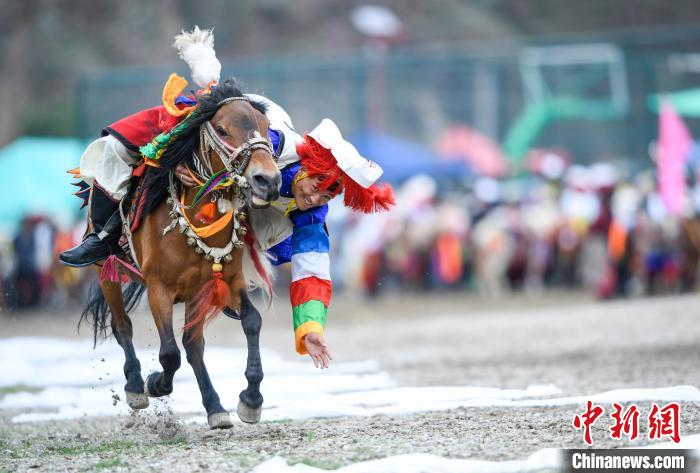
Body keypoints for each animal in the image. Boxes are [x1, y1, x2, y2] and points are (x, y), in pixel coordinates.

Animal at [81, 80, 278, 428]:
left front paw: (251, 398)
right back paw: (136, 385)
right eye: (223, 130)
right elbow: (169, 353)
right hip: (106, 270)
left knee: (194, 345)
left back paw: (214, 406)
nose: (267, 180)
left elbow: (251, 322)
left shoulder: (226, 280)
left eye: (267, 128)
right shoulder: (158, 288)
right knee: (122, 326)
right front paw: (156, 383)